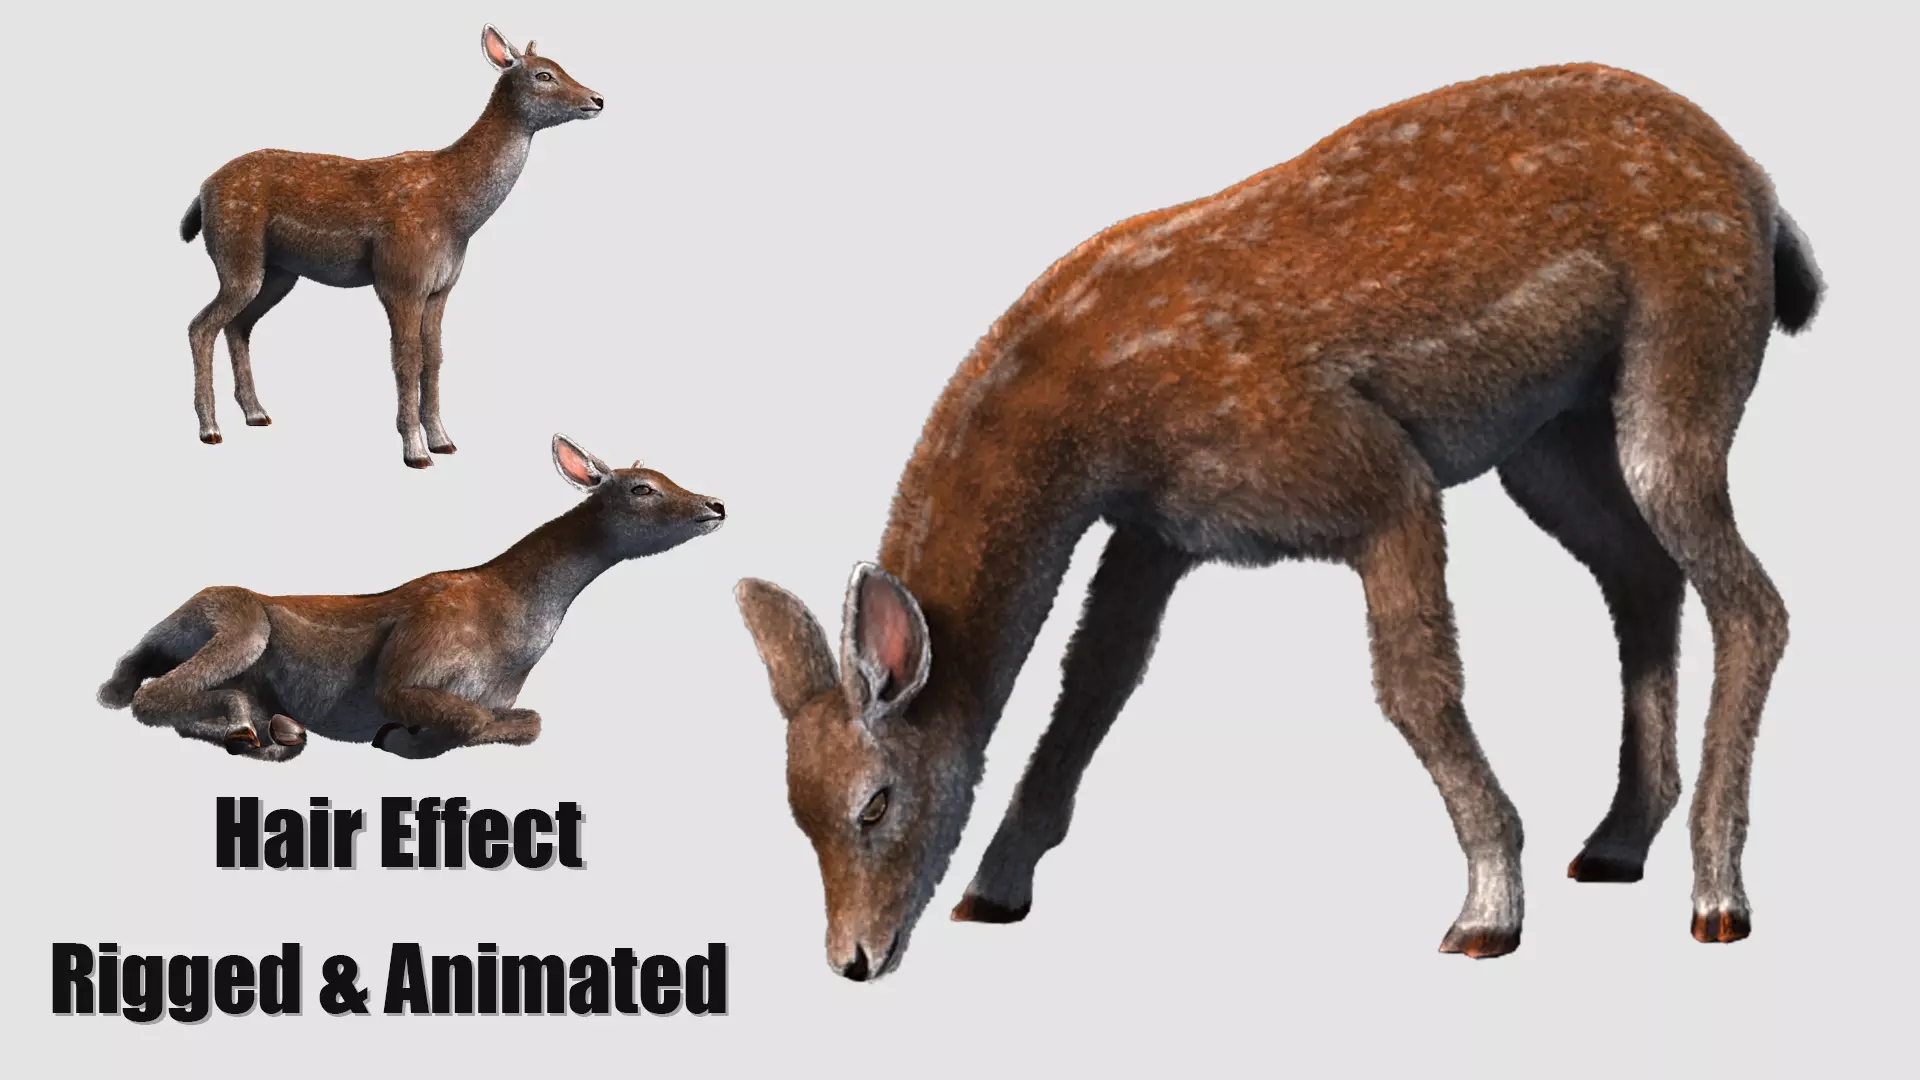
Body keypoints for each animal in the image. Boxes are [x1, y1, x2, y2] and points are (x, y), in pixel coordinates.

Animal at [99, 435, 724, 761]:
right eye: (643, 488)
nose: (716, 504)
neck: (521, 629)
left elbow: (527, 721)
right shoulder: (402, 675)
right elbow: (476, 719)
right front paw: (398, 736)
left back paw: (266, 725)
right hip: (239, 623)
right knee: (146, 696)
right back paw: (248, 726)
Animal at [178, 25, 603, 468]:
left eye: (561, 65)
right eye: (543, 75)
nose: (597, 99)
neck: (457, 213)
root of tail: (202, 193)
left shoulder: (440, 287)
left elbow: (434, 357)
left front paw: (443, 440)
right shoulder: (400, 278)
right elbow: (407, 358)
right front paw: (415, 451)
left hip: (277, 272)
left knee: (237, 325)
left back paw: (256, 413)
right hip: (237, 254)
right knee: (201, 326)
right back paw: (210, 429)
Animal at [736, 63, 1823, 980]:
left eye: (875, 803)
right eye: (794, 812)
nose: (854, 960)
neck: (1096, 424)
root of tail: (1768, 203)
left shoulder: (1372, 475)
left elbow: (1413, 688)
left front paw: (1487, 912)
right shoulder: (1159, 533)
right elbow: (1092, 687)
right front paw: (995, 890)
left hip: (1682, 359)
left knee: (1751, 602)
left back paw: (1716, 898)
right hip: (1547, 443)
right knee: (1643, 572)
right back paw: (1612, 844)